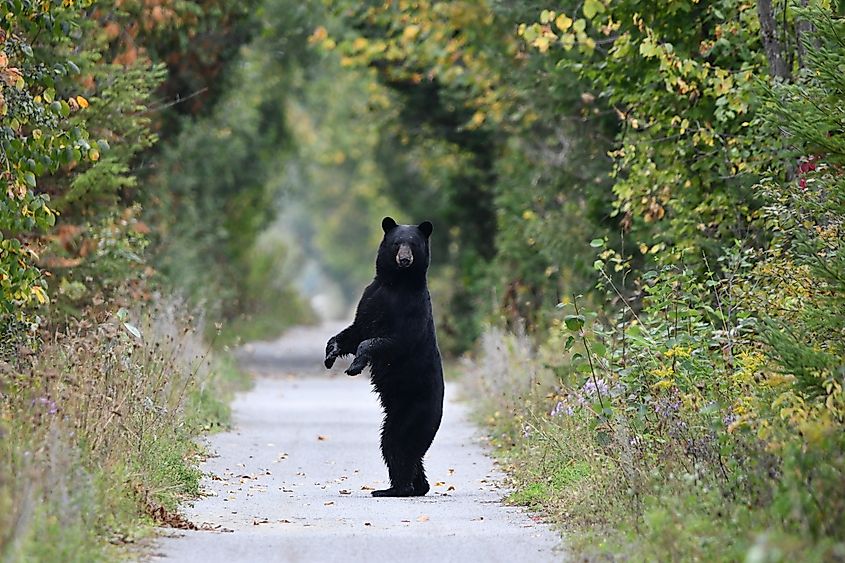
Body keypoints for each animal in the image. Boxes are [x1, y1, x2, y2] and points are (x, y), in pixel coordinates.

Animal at [324, 216, 446, 498]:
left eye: (413, 243)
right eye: (397, 243)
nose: (405, 259)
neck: (396, 283)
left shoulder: (411, 310)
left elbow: (389, 341)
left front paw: (355, 366)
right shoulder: (370, 297)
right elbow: (355, 331)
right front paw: (331, 353)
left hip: (414, 411)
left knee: (398, 444)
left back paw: (395, 489)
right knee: (401, 449)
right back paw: (416, 486)